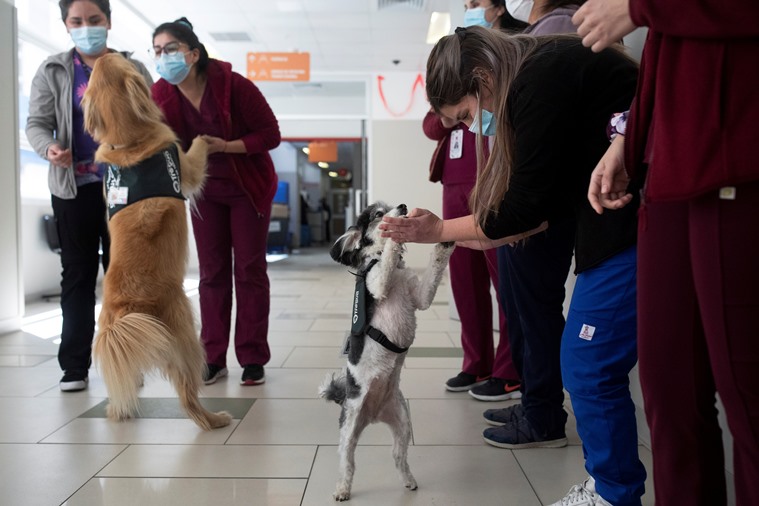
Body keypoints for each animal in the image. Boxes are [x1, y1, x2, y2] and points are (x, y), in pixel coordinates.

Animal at [83, 52, 232, 430]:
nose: (125, 50)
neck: (129, 143)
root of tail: (126, 311)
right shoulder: (183, 162)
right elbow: (196, 150)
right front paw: (206, 137)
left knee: (121, 392)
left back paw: (120, 411)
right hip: (185, 333)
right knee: (189, 397)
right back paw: (215, 419)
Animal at [318, 202, 454, 502]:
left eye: (390, 205)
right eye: (378, 214)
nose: (402, 207)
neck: (393, 271)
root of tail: (373, 415)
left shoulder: (420, 296)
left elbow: (434, 270)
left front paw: (443, 240)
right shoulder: (375, 282)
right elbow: (386, 258)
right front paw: (393, 233)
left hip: (402, 421)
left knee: (397, 456)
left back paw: (409, 480)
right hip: (350, 425)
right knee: (347, 461)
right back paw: (342, 489)